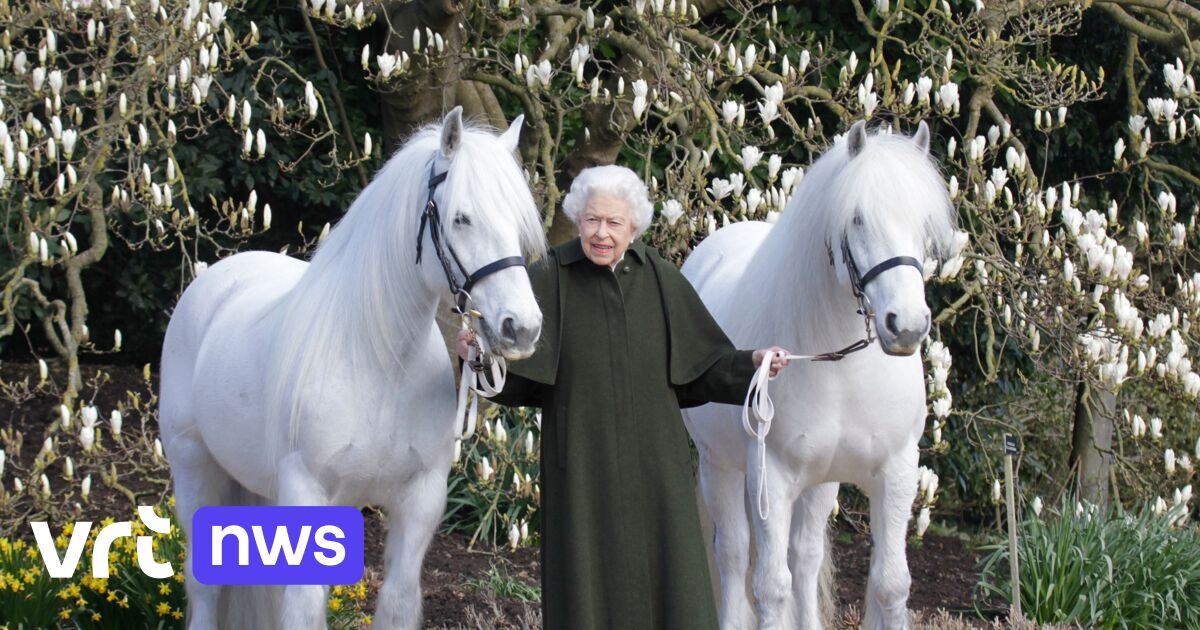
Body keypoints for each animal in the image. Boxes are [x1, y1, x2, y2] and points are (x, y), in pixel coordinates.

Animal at [159, 109, 544, 628]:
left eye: (518, 221)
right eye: (462, 217)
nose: (521, 328)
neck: (379, 364)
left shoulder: (419, 500)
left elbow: (397, 601)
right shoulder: (307, 496)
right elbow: (303, 609)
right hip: (194, 468)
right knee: (204, 587)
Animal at [686, 121, 955, 628]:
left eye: (922, 224)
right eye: (857, 219)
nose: (907, 326)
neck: (841, 367)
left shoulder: (896, 472)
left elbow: (891, 584)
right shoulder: (769, 474)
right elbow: (771, 588)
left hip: (820, 483)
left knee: (805, 557)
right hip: (720, 466)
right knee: (733, 554)